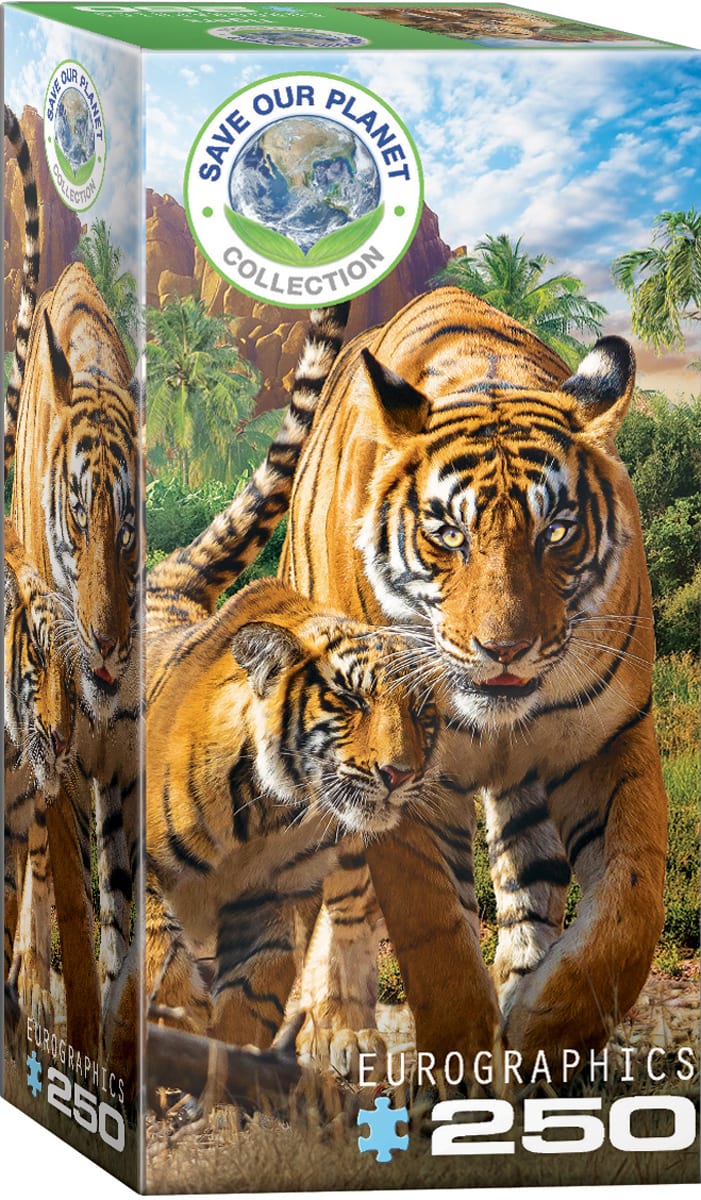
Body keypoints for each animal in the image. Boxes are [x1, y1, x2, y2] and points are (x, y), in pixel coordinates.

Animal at [281, 285, 667, 1076]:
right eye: (448, 535)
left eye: (556, 532)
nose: (504, 650)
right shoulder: (398, 782)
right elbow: (436, 938)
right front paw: (457, 1067)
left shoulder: (611, 740)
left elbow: (629, 909)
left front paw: (545, 1030)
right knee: (329, 894)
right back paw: (334, 1031)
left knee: (528, 878)